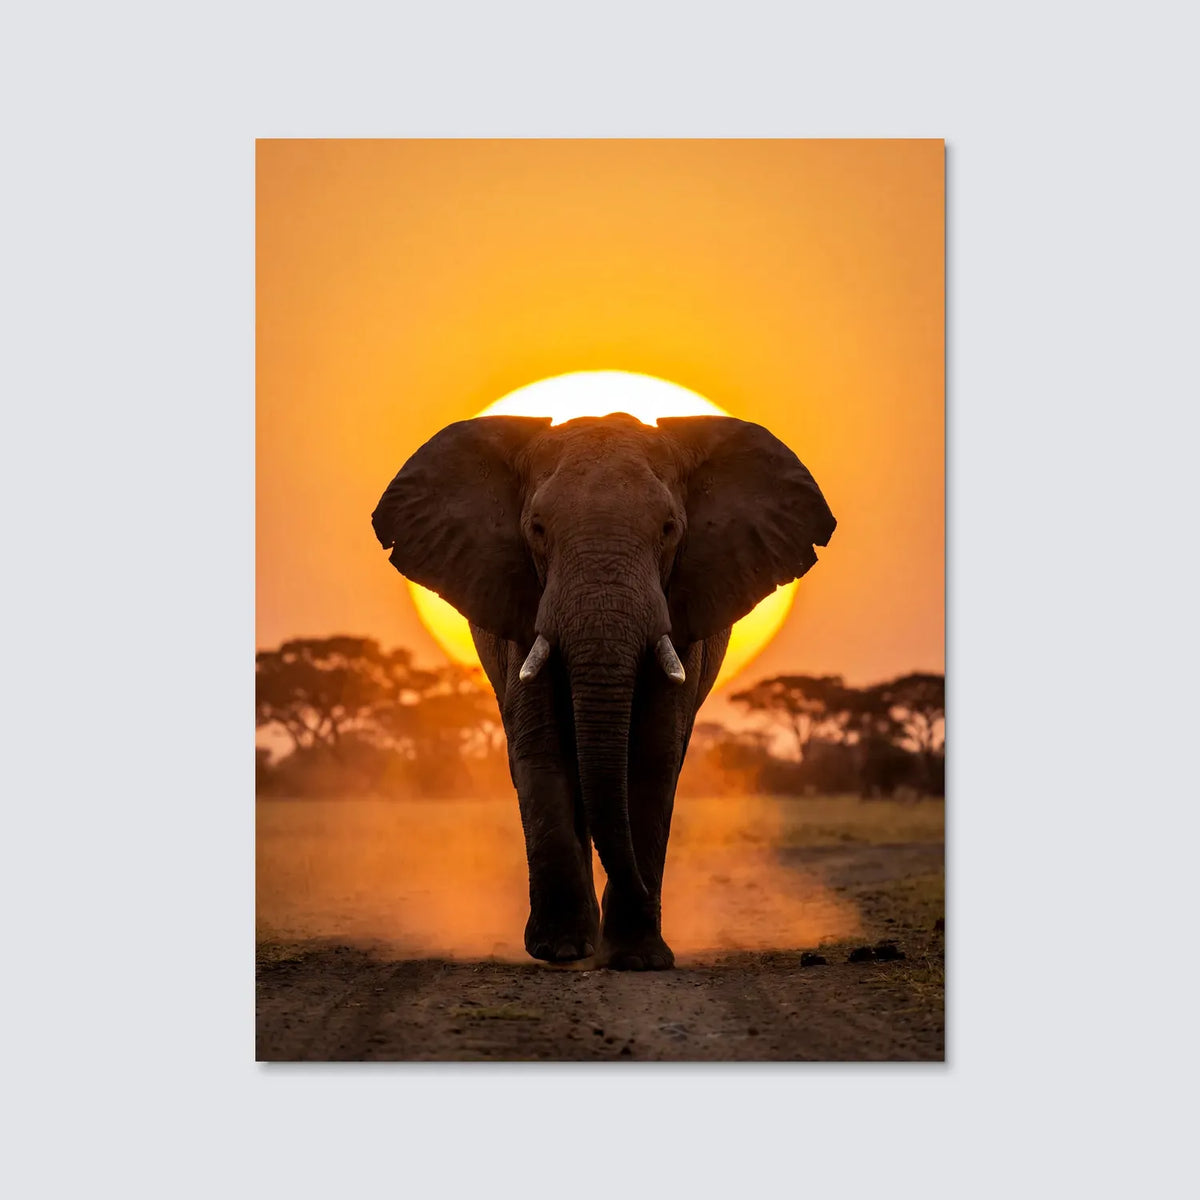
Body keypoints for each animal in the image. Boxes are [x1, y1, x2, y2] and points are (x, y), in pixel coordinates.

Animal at [371, 411, 835, 969]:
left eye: (669, 529)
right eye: (537, 529)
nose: (638, 889)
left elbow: (653, 756)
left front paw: (637, 958)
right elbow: (542, 749)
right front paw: (562, 951)